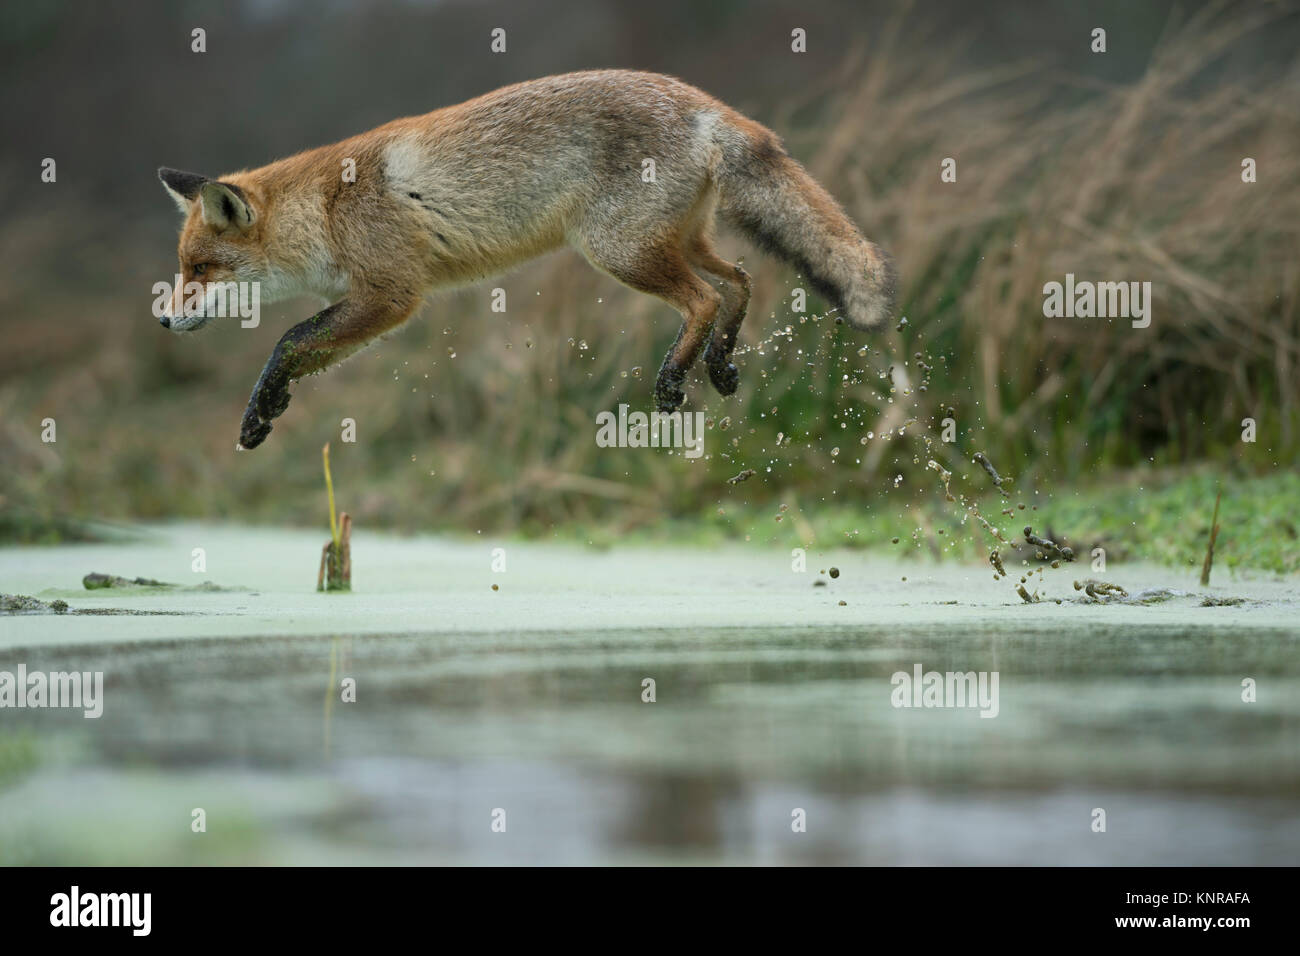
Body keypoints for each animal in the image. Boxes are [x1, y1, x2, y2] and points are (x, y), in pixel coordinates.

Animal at [157, 69, 894, 450]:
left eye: (200, 270)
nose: (162, 320)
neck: (325, 211)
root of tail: (703, 102)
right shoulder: (373, 299)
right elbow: (300, 347)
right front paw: (267, 408)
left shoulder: (391, 295)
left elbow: (288, 338)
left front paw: (260, 411)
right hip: (676, 242)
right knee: (740, 282)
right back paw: (717, 364)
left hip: (618, 251)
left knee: (706, 298)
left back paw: (672, 379)